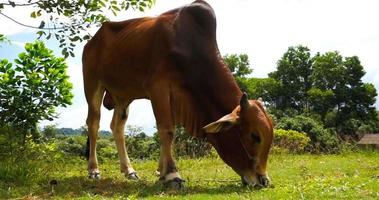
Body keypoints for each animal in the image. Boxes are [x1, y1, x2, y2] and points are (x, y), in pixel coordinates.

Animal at [83, 0, 274, 188]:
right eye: (255, 136)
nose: (263, 181)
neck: (189, 47)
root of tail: (92, 41)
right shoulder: (158, 88)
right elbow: (167, 130)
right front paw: (172, 175)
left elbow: (169, 133)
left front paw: (161, 172)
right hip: (92, 85)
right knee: (93, 124)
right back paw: (93, 170)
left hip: (123, 95)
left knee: (117, 127)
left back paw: (129, 170)